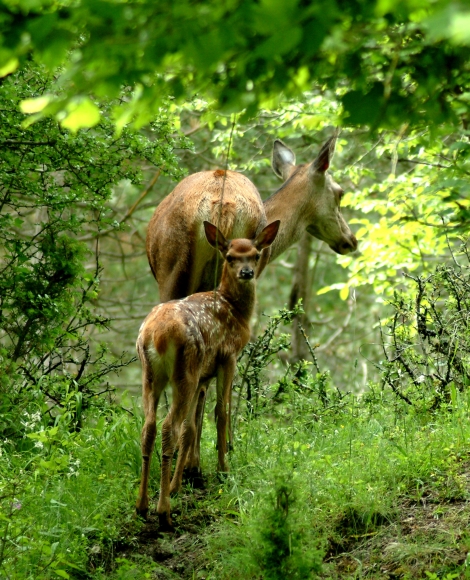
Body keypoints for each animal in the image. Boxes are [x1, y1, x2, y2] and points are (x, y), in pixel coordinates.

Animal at [134, 220, 280, 528]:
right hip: (183, 371)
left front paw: (179, 482)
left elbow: (192, 428)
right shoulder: (228, 356)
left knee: (149, 426)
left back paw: (142, 505)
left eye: (255, 255)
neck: (235, 311)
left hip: (152, 375)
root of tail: (156, 334)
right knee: (168, 427)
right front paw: (224, 468)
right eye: (230, 257)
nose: (247, 273)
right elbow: (220, 412)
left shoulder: (204, 375)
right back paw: (163, 511)